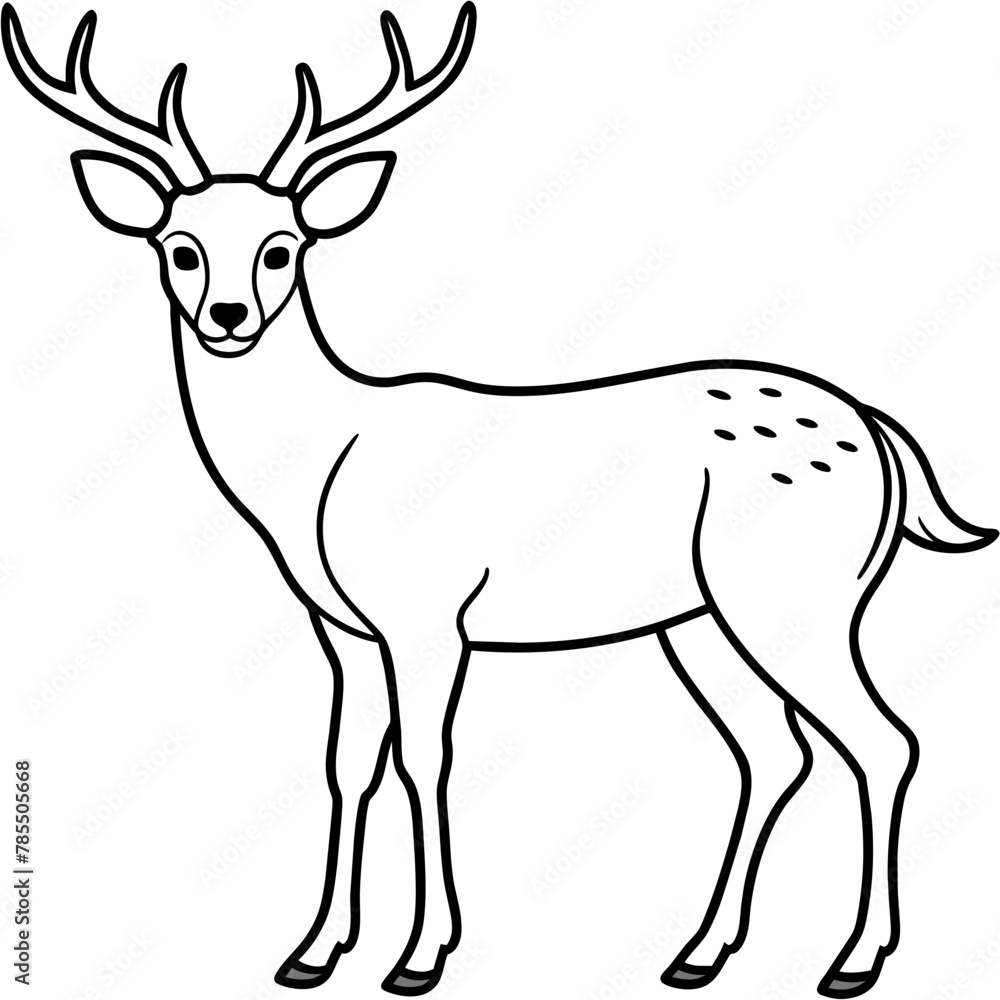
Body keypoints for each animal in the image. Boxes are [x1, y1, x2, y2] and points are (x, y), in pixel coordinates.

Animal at [3, 3, 995, 996]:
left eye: (282, 247)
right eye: (180, 247)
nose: (229, 316)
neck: (317, 472)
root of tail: (879, 432)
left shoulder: (427, 613)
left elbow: (424, 760)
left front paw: (420, 956)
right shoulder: (344, 626)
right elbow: (346, 763)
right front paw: (312, 952)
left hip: (798, 593)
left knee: (884, 740)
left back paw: (853, 961)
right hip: (701, 617)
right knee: (773, 750)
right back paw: (699, 953)